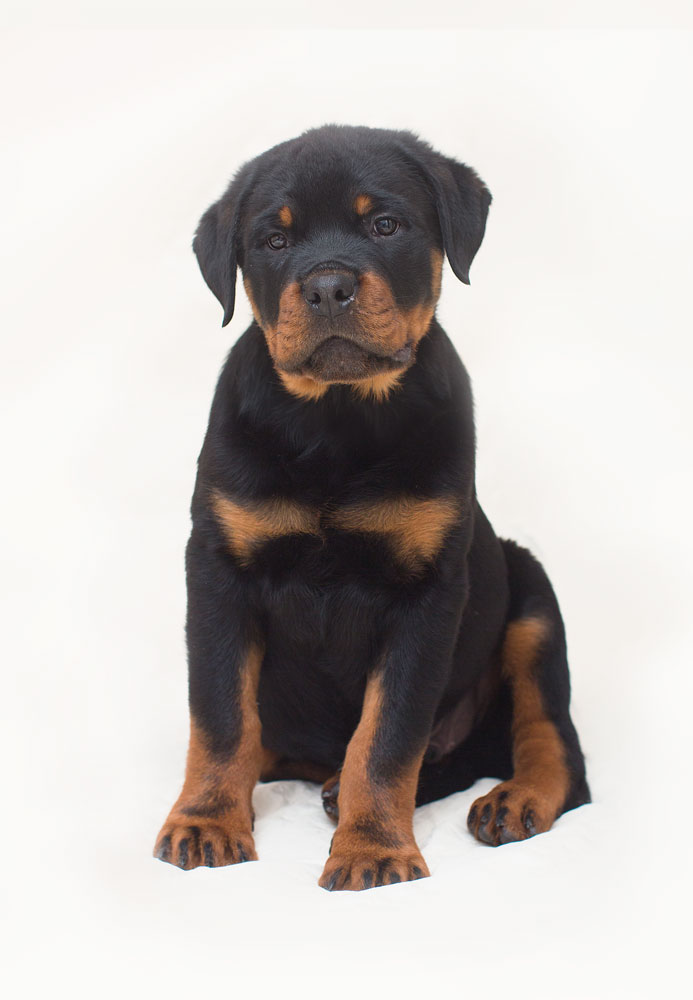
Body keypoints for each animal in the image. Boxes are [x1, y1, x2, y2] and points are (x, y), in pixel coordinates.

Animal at [154, 125, 590, 890]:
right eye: (273, 239)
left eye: (384, 226)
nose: (328, 286)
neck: (337, 420)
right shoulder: (217, 569)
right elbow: (220, 713)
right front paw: (205, 821)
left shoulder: (427, 593)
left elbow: (387, 737)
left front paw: (373, 848)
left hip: (532, 598)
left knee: (550, 735)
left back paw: (514, 799)